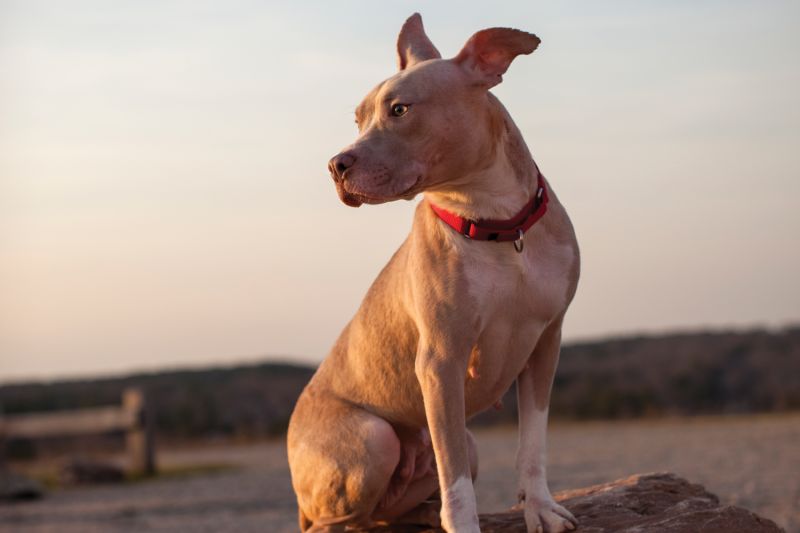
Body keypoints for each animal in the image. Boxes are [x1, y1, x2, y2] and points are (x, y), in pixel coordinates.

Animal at [290, 12, 580, 532]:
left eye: (400, 109)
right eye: (358, 118)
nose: (334, 165)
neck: (495, 223)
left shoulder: (546, 342)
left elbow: (533, 445)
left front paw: (540, 508)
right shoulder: (440, 362)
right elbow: (456, 482)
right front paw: (463, 524)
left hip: (465, 442)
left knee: (387, 512)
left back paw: (423, 514)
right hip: (372, 439)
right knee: (338, 519)